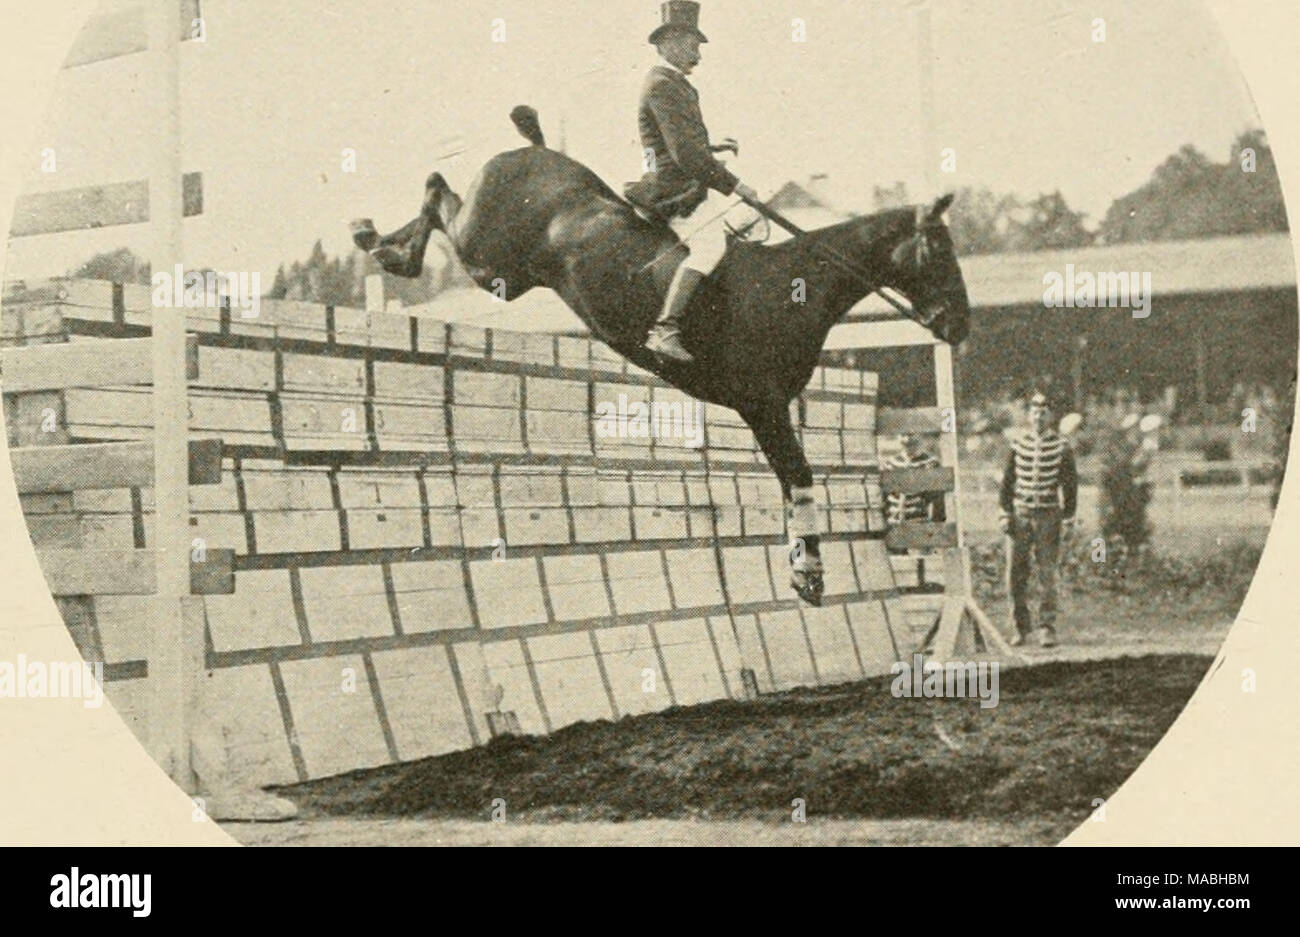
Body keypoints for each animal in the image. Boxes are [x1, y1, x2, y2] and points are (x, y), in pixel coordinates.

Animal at [351, 105, 972, 605]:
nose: (959, 325)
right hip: (489, 260)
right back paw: (382, 244)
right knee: (438, 193)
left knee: (438, 197)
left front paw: (802, 568)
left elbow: (789, 483)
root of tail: (530, 150)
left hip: (503, 270)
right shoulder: (764, 404)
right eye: (940, 251)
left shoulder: (767, 409)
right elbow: (799, 478)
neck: (794, 286)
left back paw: (378, 242)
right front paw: (809, 574)